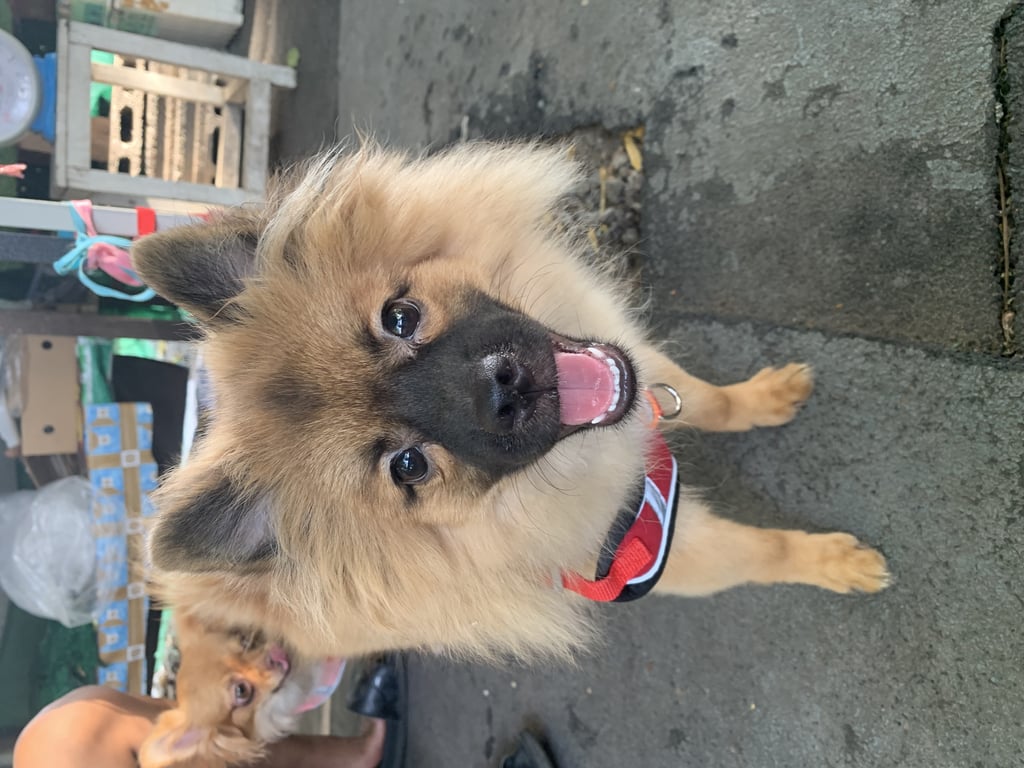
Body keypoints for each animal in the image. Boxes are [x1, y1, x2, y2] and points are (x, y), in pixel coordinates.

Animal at [133, 140, 889, 665]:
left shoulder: (642, 372)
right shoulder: (648, 552)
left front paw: (767, 397)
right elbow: (759, 552)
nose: (501, 383)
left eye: (400, 318)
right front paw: (835, 564)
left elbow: (708, 401)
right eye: (408, 467)